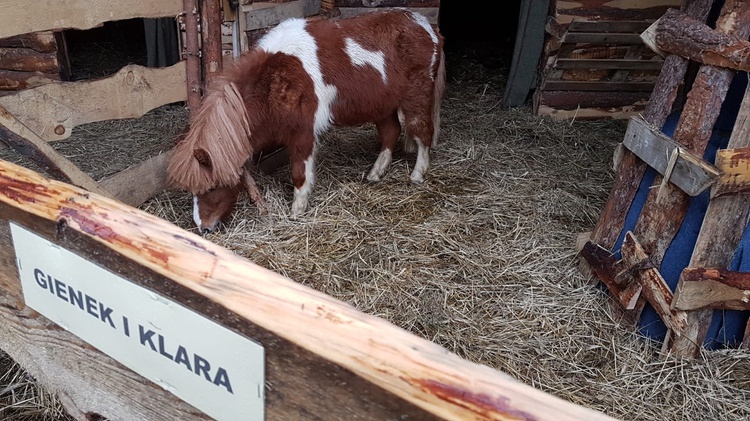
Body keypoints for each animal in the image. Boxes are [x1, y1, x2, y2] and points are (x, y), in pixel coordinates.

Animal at [167, 9, 446, 233]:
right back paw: (375, 174)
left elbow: (300, 174)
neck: (276, 79)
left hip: (416, 97)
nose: (203, 228)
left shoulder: (303, 133)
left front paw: (297, 211)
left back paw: (417, 175)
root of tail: (427, 26)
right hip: (383, 105)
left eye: (211, 188)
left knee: (422, 133)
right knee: (391, 132)